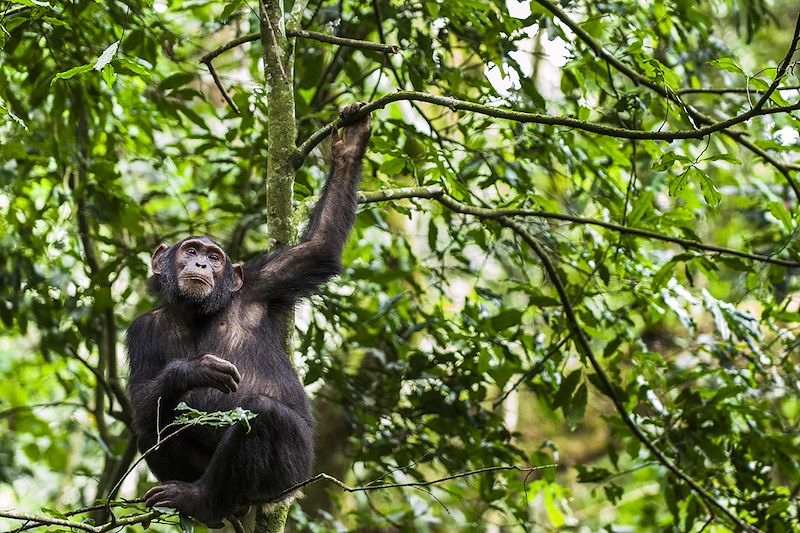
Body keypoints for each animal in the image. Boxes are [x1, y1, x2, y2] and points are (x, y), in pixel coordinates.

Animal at [126, 103, 374, 524]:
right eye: (190, 250)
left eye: (214, 257)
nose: (202, 264)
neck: (196, 312)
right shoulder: (139, 330)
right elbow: (143, 399)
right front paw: (194, 370)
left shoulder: (261, 283)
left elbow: (319, 247)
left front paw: (350, 145)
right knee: (150, 428)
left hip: (288, 478)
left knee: (262, 413)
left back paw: (202, 502)